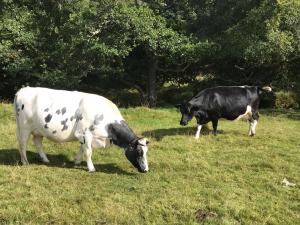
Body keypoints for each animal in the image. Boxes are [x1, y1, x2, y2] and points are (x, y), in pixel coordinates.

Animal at [14, 87, 150, 173]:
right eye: (139, 152)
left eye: (146, 151)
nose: (146, 170)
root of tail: (23, 89)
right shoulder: (85, 133)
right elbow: (88, 151)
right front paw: (91, 168)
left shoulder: (82, 135)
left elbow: (82, 148)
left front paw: (77, 161)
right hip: (24, 127)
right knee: (22, 144)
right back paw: (25, 162)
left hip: (39, 129)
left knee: (37, 143)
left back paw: (45, 159)